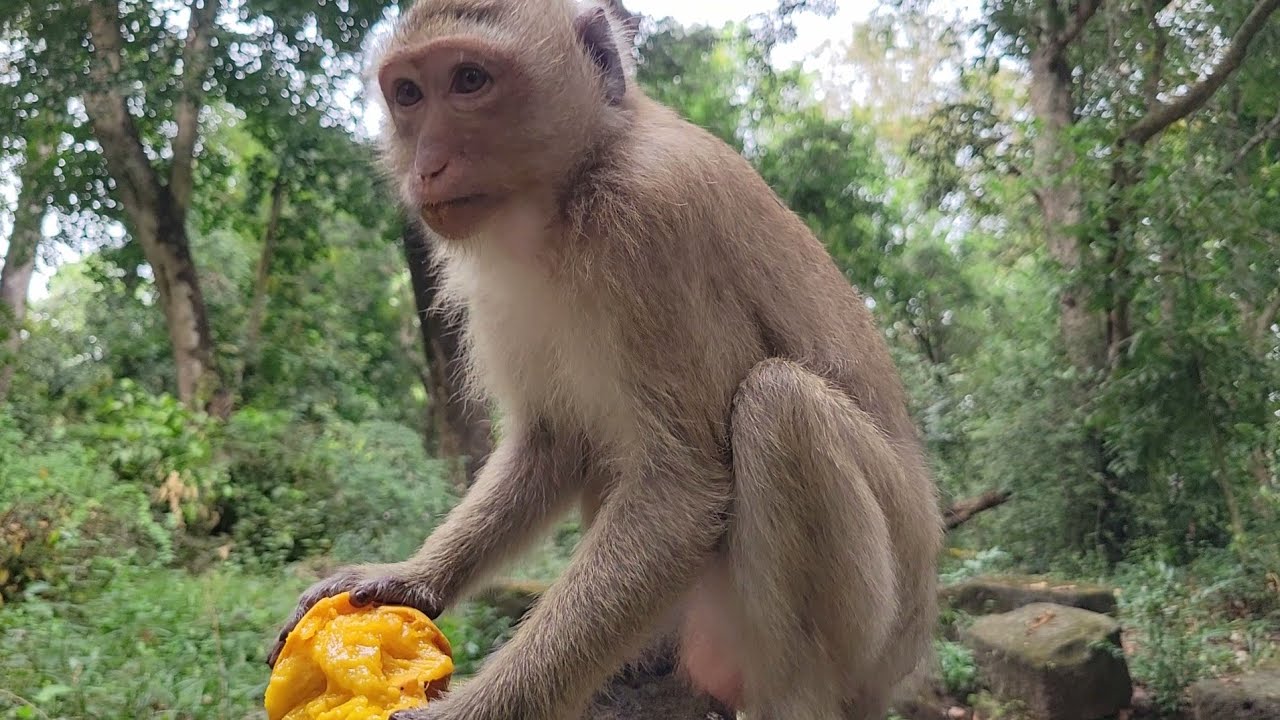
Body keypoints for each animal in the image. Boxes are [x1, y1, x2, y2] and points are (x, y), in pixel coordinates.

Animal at [265, 1, 944, 718]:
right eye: (408, 94)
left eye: (471, 80)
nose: (426, 166)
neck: (568, 197)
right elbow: (554, 441)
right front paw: (409, 578)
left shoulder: (654, 221)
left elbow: (681, 488)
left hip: (883, 627)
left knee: (780, 403)